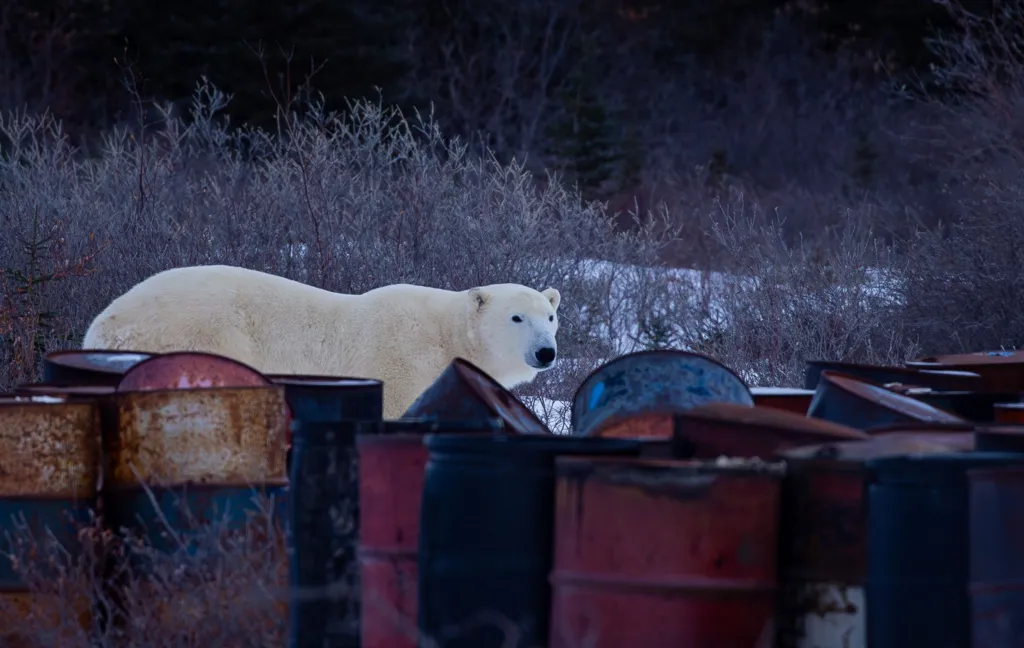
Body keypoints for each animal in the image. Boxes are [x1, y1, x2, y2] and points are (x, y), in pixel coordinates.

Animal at [81, 264, 561, 419]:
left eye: (551, 316)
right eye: (517, 317)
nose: (546, 352)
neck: (446, 335)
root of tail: (102, 325)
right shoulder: (402, 365)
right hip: (200, 332)